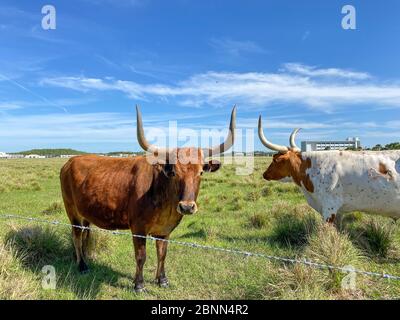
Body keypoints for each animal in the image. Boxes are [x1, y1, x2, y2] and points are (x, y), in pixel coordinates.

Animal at [60, 105, 236, 292]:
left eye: (201, 172)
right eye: (174, 172)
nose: (187, 207)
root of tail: (69, 162)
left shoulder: (165, 231)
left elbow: (162, 254)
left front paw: (162, 279)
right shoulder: (138, 228)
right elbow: (141, 256)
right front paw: (139, 284)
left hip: (86, 213)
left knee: (86, 233)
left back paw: (84, 258)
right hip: (72, 211)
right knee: (76, 235)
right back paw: (82, 266)